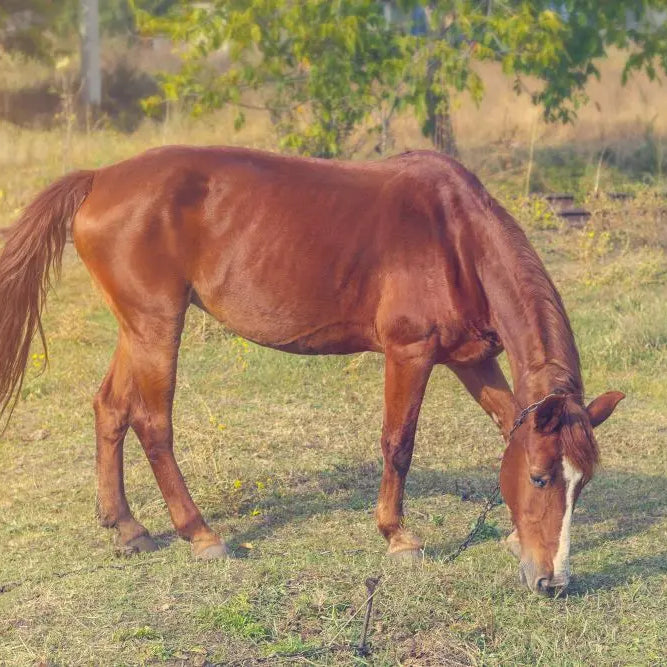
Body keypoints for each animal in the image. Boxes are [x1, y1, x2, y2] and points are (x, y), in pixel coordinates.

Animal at [0, 147, 624, 596]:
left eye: (582, 483)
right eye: (541, 478)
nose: (552, 583)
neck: (456, 238)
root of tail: (100, 178)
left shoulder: (470, 359)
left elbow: (505, 425)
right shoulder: (410, 353)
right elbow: (398, 443)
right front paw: (398, 536)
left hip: (137, 327)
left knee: (110, 407)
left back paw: (126, 526)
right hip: (157, 326)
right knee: (152, 423)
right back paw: (200, 533)